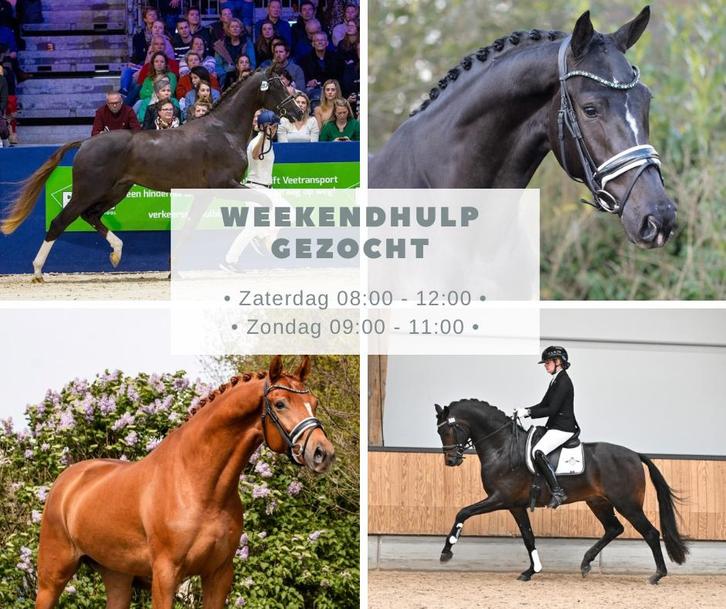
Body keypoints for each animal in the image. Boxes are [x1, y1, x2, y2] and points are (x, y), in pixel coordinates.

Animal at [0, 70, 303, 282]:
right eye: (277, 84)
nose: (299, 111)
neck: (223, 130)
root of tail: (85, 143)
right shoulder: (225, 185)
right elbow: (270, 203)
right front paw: (266, 241)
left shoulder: (206, 194)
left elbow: (189, 227)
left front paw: (173, 271)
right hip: (88, 191)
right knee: (60, 222)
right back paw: (38, 272)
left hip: (116, 191)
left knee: (92, 216)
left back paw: (116, 252)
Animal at [35, 355, 334, 609]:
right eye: (280, 403)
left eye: (314, 403)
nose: (323, 453)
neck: (198, 485)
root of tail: (67, 481)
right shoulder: (166, 575)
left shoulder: (218, 574)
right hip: (52, 577)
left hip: (117, 575)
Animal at [434, 400, 688, 585]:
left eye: (448, 430)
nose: (451, 460)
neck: (503, 448)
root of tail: (635, 454)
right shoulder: (515, 505)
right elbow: (528, 537)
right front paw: (531, 571)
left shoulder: (499, 498)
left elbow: (463, 512)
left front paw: (446, 552)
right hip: (598, 502)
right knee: (614, 528)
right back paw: (586, 563)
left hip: (627, 504)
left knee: (650, 533)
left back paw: (657, 575)